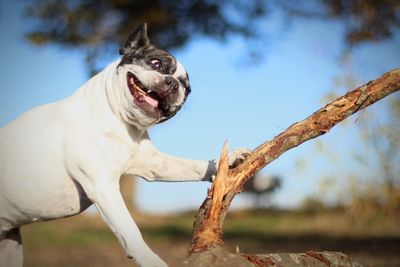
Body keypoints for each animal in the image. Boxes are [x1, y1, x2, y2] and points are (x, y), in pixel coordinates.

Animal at [0, 24, 248, 266]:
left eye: (186, 90)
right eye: (156, 63)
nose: (174, 84)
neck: (118, 120)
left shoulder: (154, 165)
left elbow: (191, 167)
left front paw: (227, 160)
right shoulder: (103, 187)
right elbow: (131, 231)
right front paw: (152, 261)